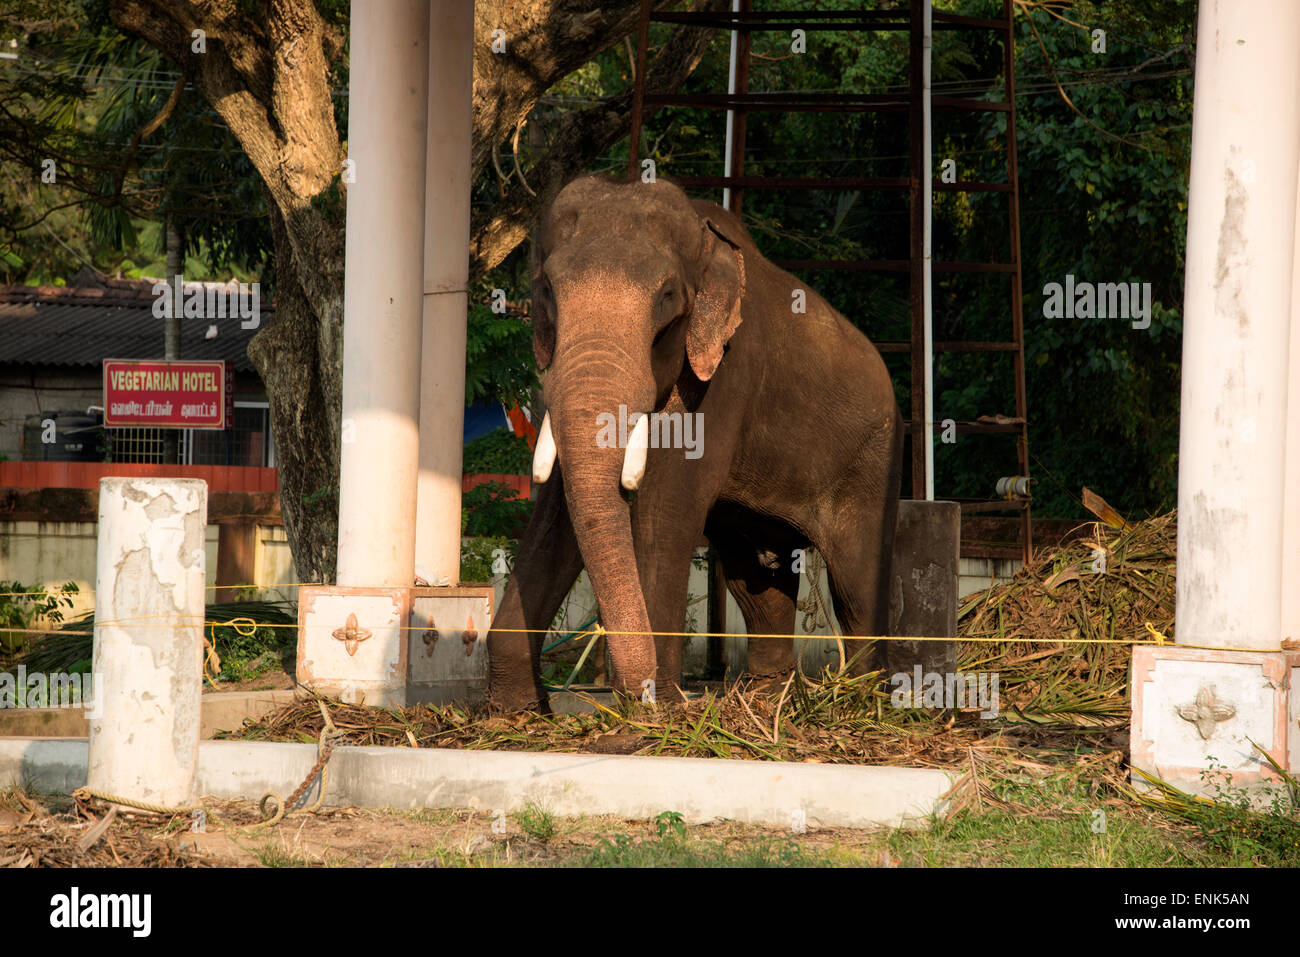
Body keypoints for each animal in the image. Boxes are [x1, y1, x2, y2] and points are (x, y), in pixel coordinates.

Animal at [483, 174, 899, 712]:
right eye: (548, 291)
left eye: (666, 296)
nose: (644, 693)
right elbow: (558, 512)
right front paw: (513, 713)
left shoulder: (727, 375)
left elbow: (665, 509)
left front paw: (651, 713)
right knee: (756, 576)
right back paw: (768, 699)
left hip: (873, 457)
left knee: (855, 583)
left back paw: (860, 702)